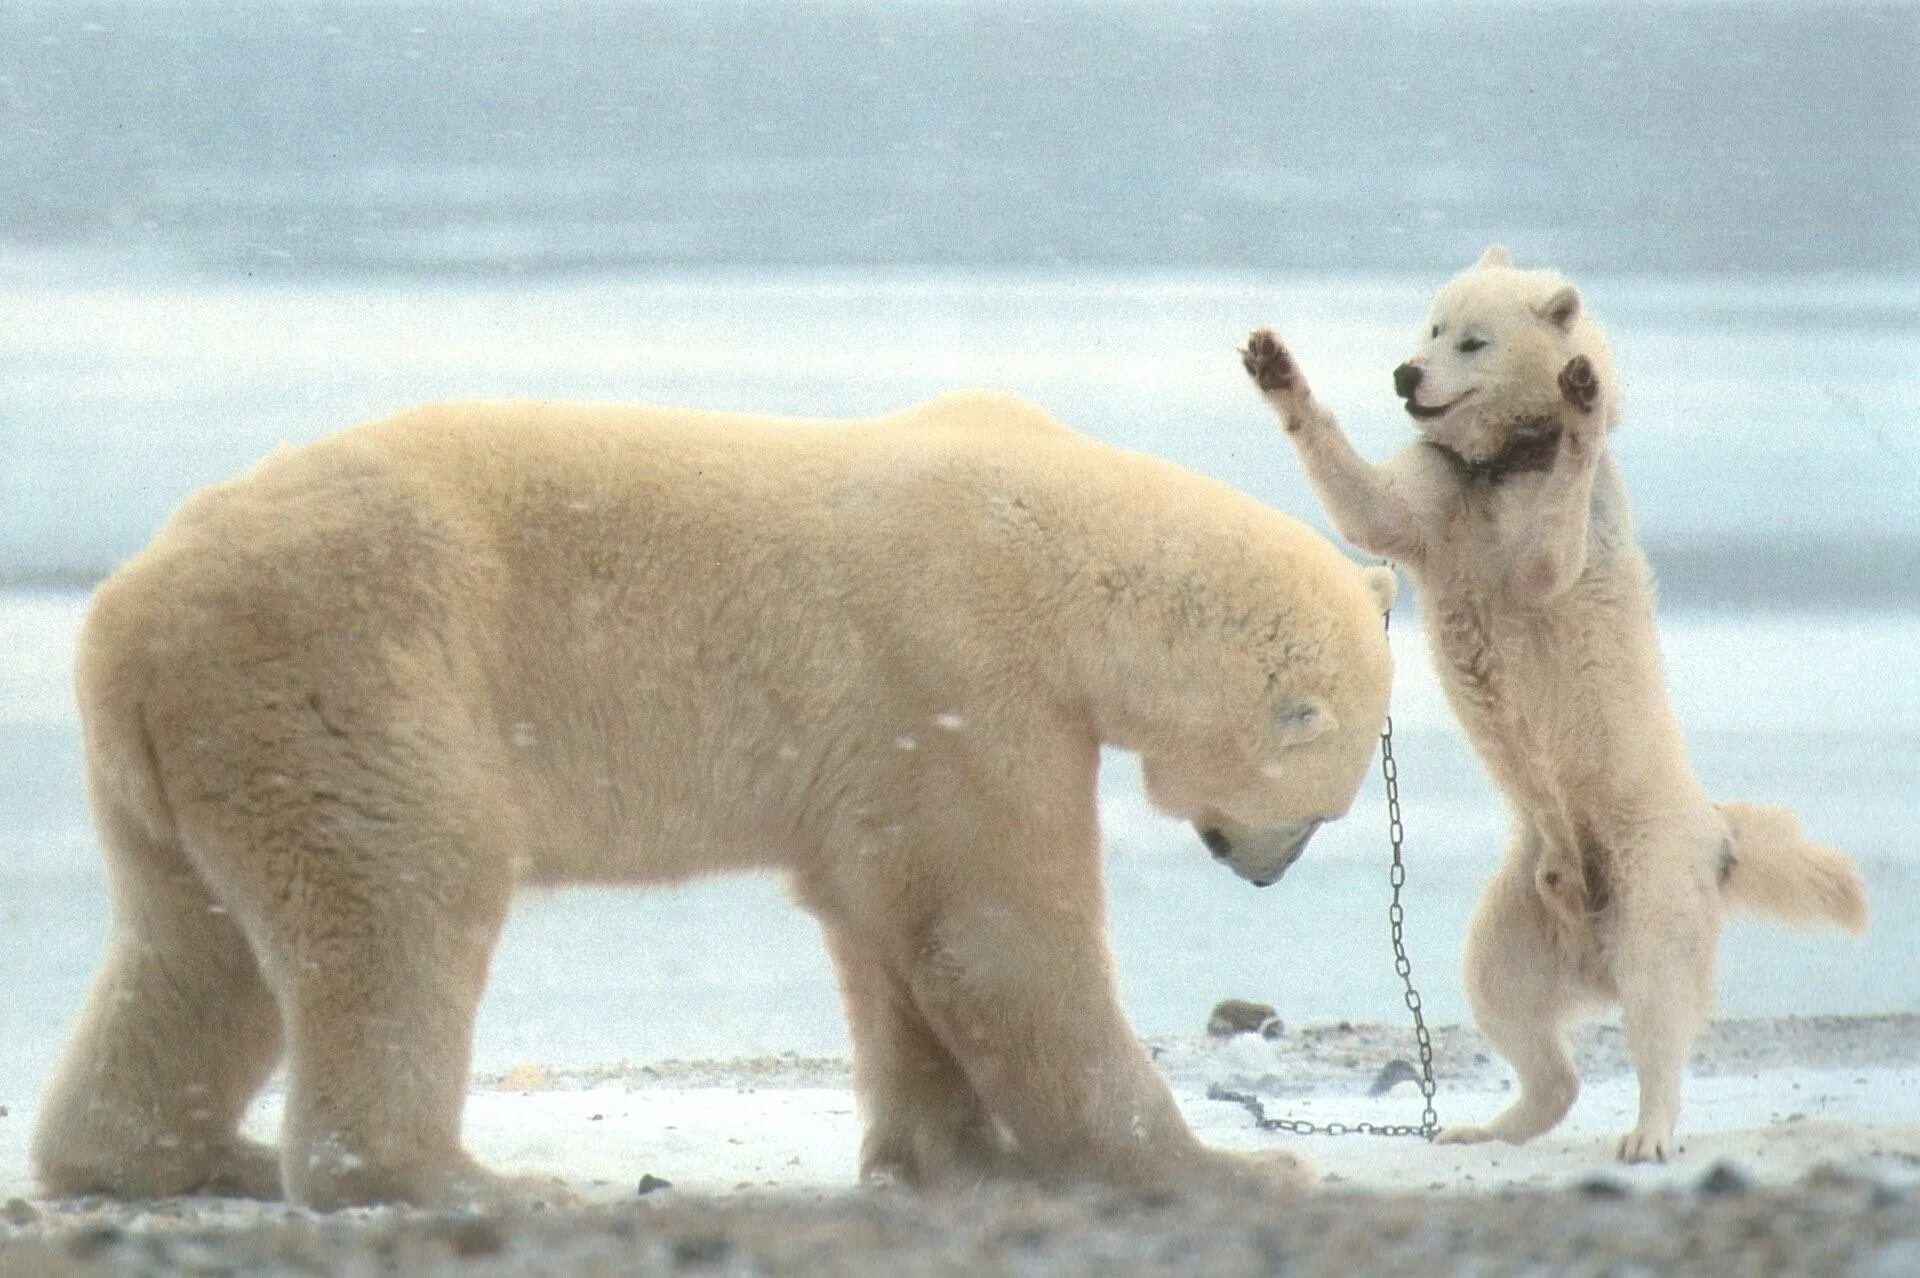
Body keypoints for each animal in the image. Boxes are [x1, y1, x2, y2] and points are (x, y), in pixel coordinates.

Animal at [33, 387, 1397, 1205]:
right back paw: (447, 1176)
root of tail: (127, 609)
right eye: (1326, 798)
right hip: (347, 674)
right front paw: (1224, 1169)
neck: (1058, 536)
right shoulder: (955, 669)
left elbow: (890, 928)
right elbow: (994, 933)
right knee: (399, 899)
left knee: (193, 945)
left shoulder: (894, 744)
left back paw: (170, 1153)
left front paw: (952, 1155)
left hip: (194, 744)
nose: (1264, 865)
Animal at [1236, 243, 1866, 1159]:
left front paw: (1580, 404)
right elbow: (1368, 508)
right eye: (1432, 324)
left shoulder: (1530, 518)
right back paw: (1489, 1124)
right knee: (1505, 998)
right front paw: (1275, 366)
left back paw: (1648, 1129)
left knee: (1655, 993)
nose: (1405, 374)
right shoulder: (1445, 493)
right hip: (1526, 891)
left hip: (1647, 857)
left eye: (1474, 340)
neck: (1500, 458)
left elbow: (1543, 563)